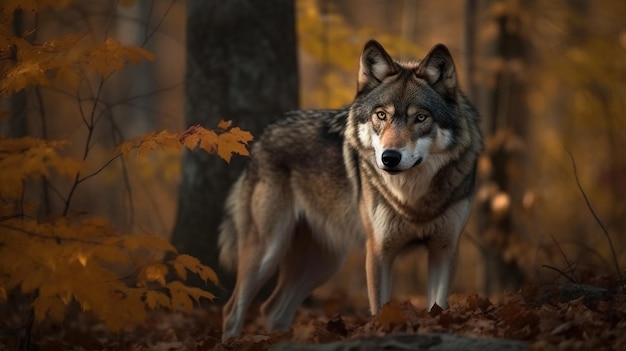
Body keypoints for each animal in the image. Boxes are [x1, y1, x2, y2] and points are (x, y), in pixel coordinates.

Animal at [218, 40, 482, 340]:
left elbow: (438, 307)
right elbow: (379, 310)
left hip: (323, 263)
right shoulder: (378, 250)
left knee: (272, 309)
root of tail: (260, 136)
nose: (390, 158)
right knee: (232, 311)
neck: (412, 198)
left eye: (420, 117)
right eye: (381, 115)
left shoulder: (444, 249)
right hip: (267, 251)